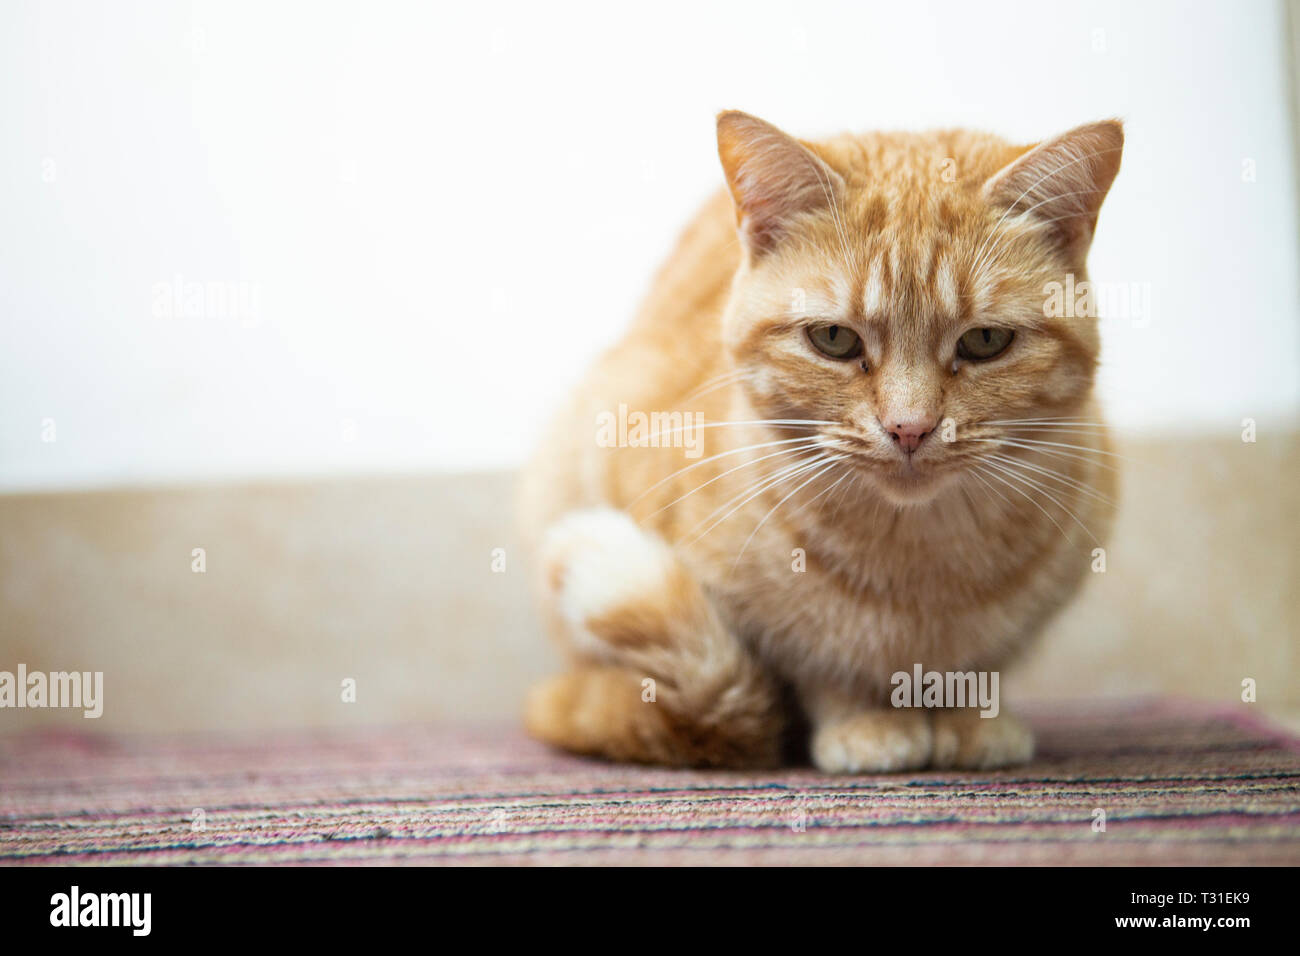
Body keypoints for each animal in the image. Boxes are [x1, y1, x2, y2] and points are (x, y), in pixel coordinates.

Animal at [514, 111, 1118, 775]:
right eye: (834, 339)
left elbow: (983, 667)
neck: (917, 565)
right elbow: (817, 665)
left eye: (985, 341)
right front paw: (864, 724)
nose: (910, 427)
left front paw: (972, 720)